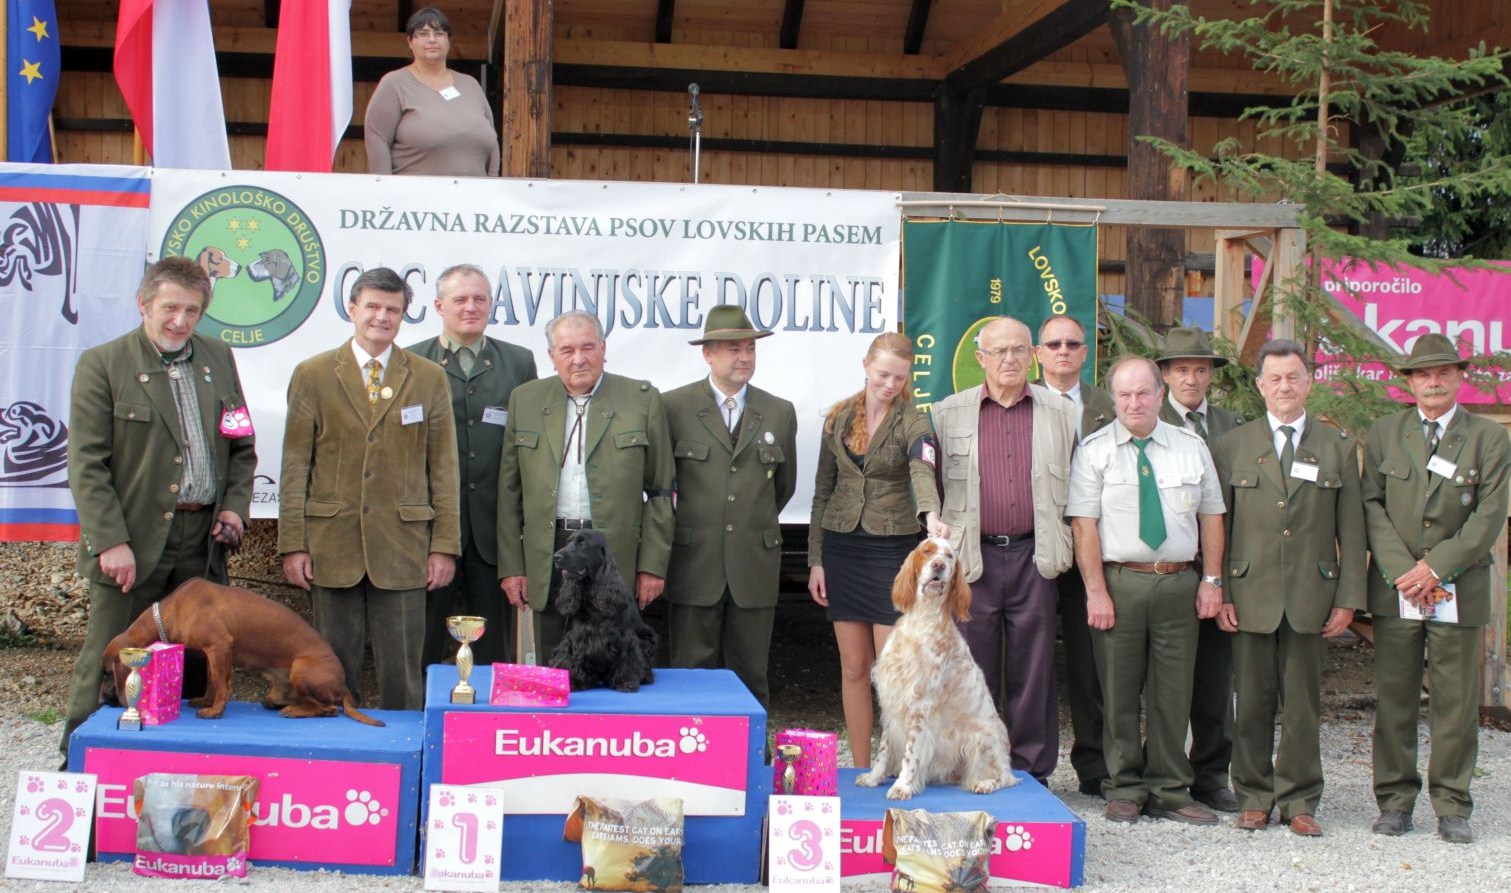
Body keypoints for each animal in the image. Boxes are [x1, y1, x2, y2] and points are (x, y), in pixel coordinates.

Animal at [102, 578, 383, 726]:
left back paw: (296, 710)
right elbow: (213, 681)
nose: (103, 700)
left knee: (329, 709)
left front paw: (215, 710)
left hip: (301, 669)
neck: (175, 608)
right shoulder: (211, 652)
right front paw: (206, 701)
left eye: (106, 673)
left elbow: (221, 685)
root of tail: (343, 684)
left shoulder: (220, 645)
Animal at [549, 529, 657, 692]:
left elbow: (625, 657)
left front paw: (625, 681)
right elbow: (578, 657)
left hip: (647, 640)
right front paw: (576, 680)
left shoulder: (623, 636)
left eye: (582, 543)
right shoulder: (579, 635)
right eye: (568, 542)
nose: (556, 557)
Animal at [856, 537, 1015, 800]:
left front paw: (902, 785)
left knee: (1005, 776)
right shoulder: (893, 702)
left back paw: (984, 784)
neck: (922, 619)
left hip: (982, 737)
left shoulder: (920, 706)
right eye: (927, 551)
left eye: (950, 556)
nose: (939, 565)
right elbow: (884, 749)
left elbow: (910, 753)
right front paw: (873, 777)